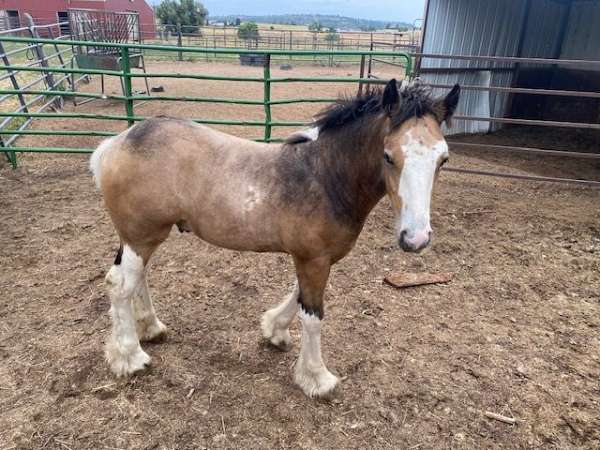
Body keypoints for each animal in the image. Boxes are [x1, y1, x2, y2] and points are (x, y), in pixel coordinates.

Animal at [91, 80, 462, 398]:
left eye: (443, 159)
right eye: (388, 156)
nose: (415, 238)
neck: (326, 177)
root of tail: (116, 143)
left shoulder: (314, 258)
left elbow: (298, 297)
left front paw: (274, 330)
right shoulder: (313, 259)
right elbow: (313, 315)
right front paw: (316, 377)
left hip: (142, 237)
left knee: (133, 279)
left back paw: (151, 328)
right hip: (141, 235)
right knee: (120, 285)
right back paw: (129, 356)